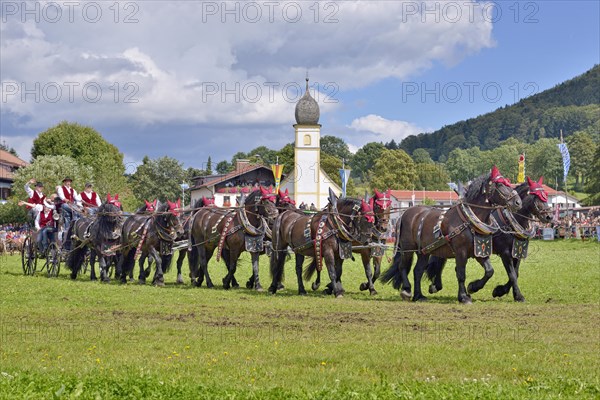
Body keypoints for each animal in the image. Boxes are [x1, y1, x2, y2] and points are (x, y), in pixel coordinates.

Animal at [382, 168, 524, 304]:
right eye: (500, 184)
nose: (518, 202)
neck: (469, 220)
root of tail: (404, 214)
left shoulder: (479, 250)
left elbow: (489, 271)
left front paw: (473, 287)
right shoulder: (461, 252)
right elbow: (461, 274)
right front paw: (463, 297)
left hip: (424, 252)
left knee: (418, 271)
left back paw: (419, 296)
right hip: (407, 249)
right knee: (402, 267)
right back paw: (407, 290)